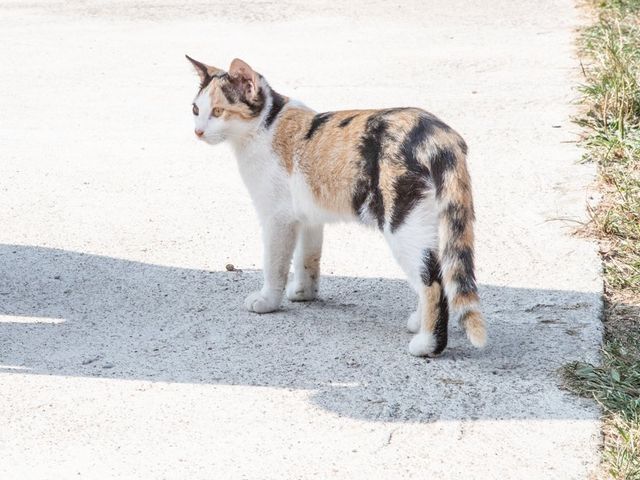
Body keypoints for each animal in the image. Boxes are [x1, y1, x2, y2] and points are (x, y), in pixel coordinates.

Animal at [188, 55, 488, 356]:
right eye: (195, 109)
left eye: (218, 111)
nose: (198, 131)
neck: (266, 125)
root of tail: (438, 134)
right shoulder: (307, 217)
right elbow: (307, 257)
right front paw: (304, 292)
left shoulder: (277, 219)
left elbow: (275, 264)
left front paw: (267, 300)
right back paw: (419, 320)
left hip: (403, 222)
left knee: (432, 280)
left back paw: (427, 344)